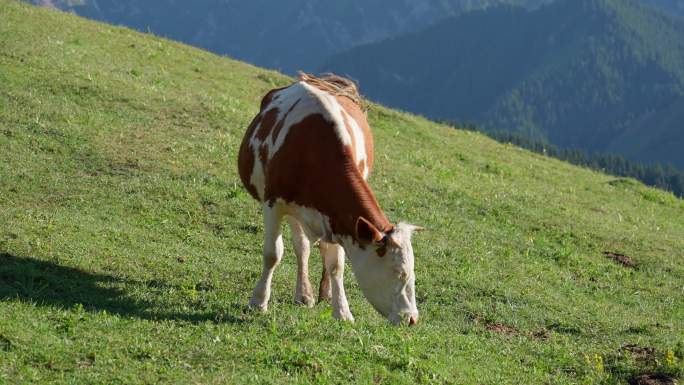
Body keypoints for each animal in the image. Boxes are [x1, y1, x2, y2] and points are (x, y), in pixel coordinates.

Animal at [240, 72, 422, 324]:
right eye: (399, 272)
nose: (412, 318)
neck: (313, 151)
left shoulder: (340, 219)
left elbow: (336, 265)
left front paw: (342, 311)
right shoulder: (273, 203)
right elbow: (272, 254)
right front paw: (258, 302)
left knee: (309, 248)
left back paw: (315, 294)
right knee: (302, 247)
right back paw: (304, 294)